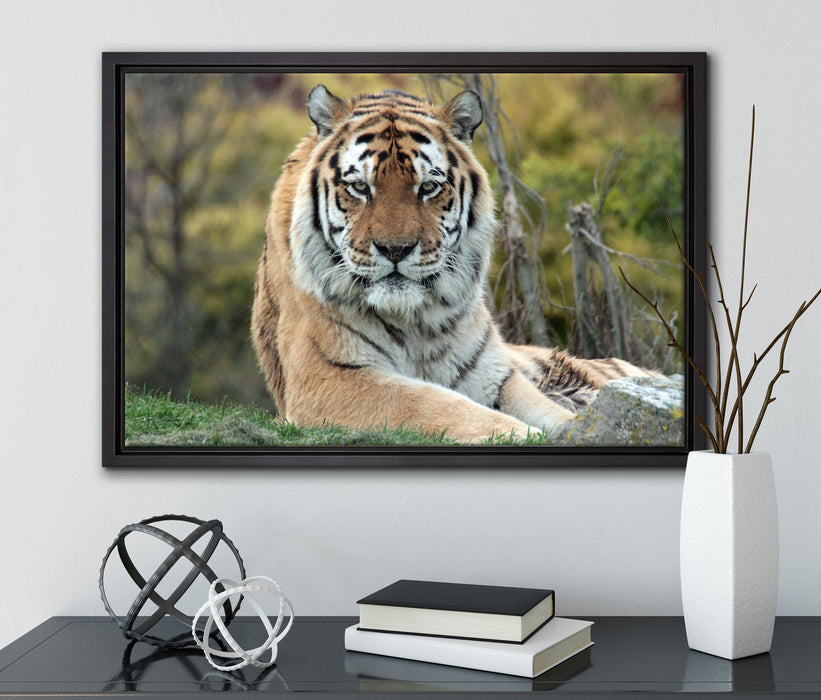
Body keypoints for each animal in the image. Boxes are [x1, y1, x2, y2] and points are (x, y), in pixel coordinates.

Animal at [251, 85, 652, 443]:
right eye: (360, 188)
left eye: (428, 187)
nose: (395, 249)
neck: (413, 322)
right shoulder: (331, 378)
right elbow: (433, 404)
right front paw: (523, 434)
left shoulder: (494, 374)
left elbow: (548, 411)